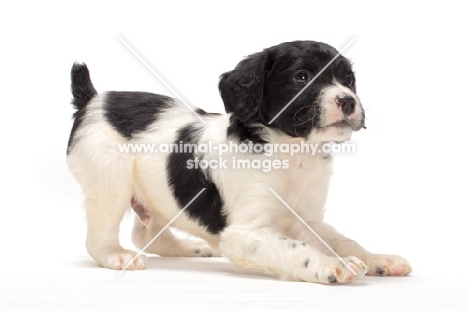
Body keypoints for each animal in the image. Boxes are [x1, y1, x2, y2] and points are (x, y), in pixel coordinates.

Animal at [67, 40, 412, 284]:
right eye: (301, 77)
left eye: (349, 80)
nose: (348, 101)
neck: (292, 152)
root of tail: (94, 100)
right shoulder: (244, 232)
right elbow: (298, 248)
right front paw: (332, 265)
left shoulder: (307, 218)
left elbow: (341, 239)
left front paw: (377, 258)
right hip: (111, 180)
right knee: (98, 238)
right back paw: (118, 256)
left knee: (147, 232)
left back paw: (190, 248)